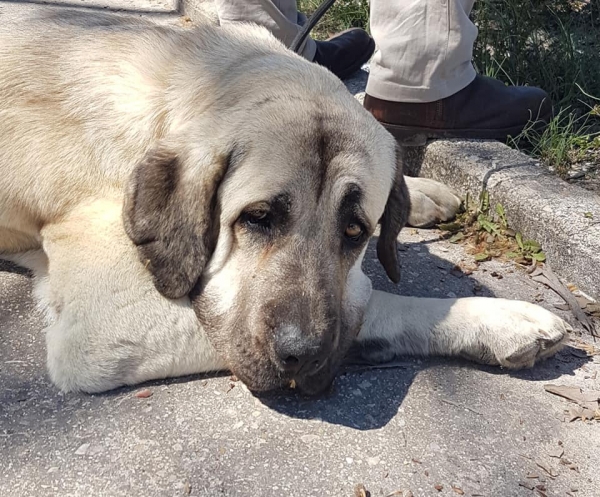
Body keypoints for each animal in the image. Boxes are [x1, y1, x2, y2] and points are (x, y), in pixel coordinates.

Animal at [0, 9, 568, 394]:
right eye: (257, 218)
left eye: (355, 231)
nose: (300, 356)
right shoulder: (102, 331)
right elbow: (376, 303)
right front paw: (495, 320)